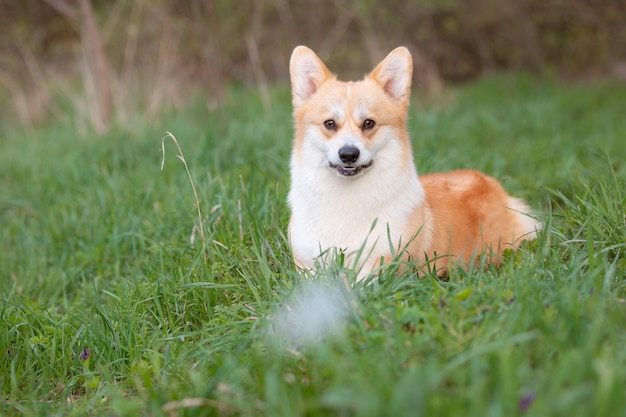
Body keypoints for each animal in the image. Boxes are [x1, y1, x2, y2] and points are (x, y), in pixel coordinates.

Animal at [286, 44, 536, 280]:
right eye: (329, 123)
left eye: (368, 123)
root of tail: (491, 184)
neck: (346, 198)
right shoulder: (306, 265)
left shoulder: (381, 265)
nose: (348, 154)